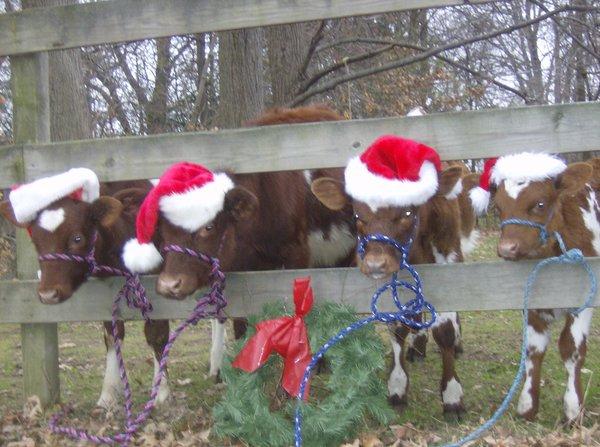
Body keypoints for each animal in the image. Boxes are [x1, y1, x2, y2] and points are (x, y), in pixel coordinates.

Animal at [312, 135, 466, 414]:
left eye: (407, 212)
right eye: (357, 215)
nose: (375, 264)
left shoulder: (449, 256)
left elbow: (445, 329)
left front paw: (452, 395)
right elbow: (397, 328)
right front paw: (397, 385)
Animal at [478, 153, 596, 424]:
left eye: (540, 204)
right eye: (498, 207)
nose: (507, 248)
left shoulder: (582, 294)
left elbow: (572, 349)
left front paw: (573, 409)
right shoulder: (532, 300)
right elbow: (534, 349)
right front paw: (527, 406)